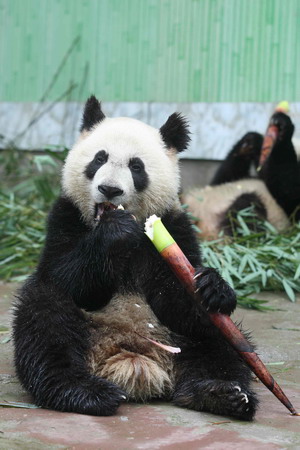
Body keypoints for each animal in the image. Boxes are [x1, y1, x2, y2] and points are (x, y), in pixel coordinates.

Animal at [12, 96, 258, 422]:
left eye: (136, 166)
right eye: (99, 159)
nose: (110, 189)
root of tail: (132, 360)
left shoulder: (174, 228)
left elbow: (178, 301)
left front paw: (213, 286)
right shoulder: (65, 218)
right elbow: (65, 277)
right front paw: (114, 233)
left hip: (179, 339)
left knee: (217, 341)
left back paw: (222, 394)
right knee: (45, 320)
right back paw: (87, 393)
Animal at [182, 111, 300, 241]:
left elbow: (288, 189)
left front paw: (283, 126)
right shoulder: (229, 177)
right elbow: (224, 177)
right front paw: (251, 142)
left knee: (247, 208)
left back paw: (243, 234)